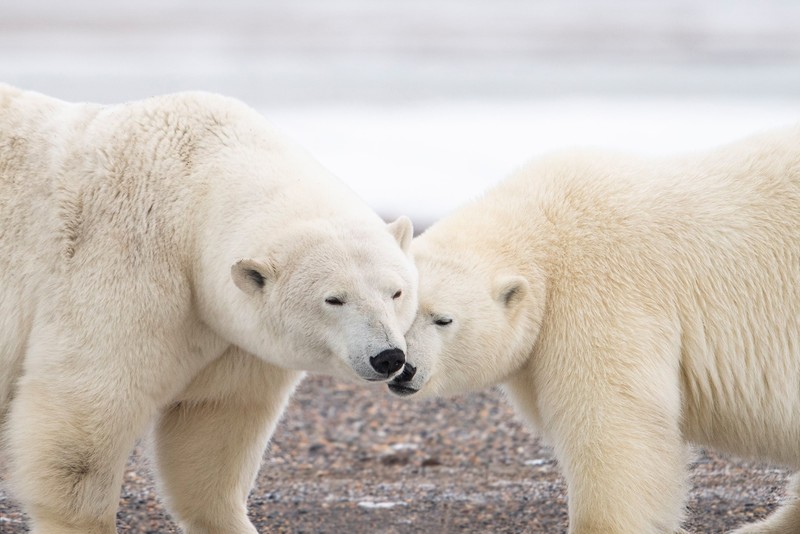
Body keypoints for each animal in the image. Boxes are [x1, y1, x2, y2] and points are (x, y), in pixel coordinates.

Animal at [0, 85, 418, 534]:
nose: (387, 356)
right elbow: (87, 407)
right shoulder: (123, 262)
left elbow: (213, 426)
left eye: (396, 292)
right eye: (334, 299)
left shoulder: (231, 335)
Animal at [389, 126, 800, 533]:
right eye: (396, 308)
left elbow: (610, 422)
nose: (403, 368)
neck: (547, 227)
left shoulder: (600, 296)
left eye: (442, 319)